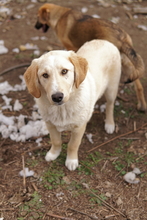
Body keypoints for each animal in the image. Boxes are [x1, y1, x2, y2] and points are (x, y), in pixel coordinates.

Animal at [24, 40, 120, 170]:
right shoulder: (50, 125)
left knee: (110, 105)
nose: (57, 97)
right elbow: (56, 141)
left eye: (64, 71)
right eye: (45, 75)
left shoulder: (79, 128)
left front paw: (71, 161)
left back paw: (109, 124)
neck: (62, 109)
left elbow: (73, 145)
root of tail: (103, 41)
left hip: (111, 89)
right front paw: (53, 154)